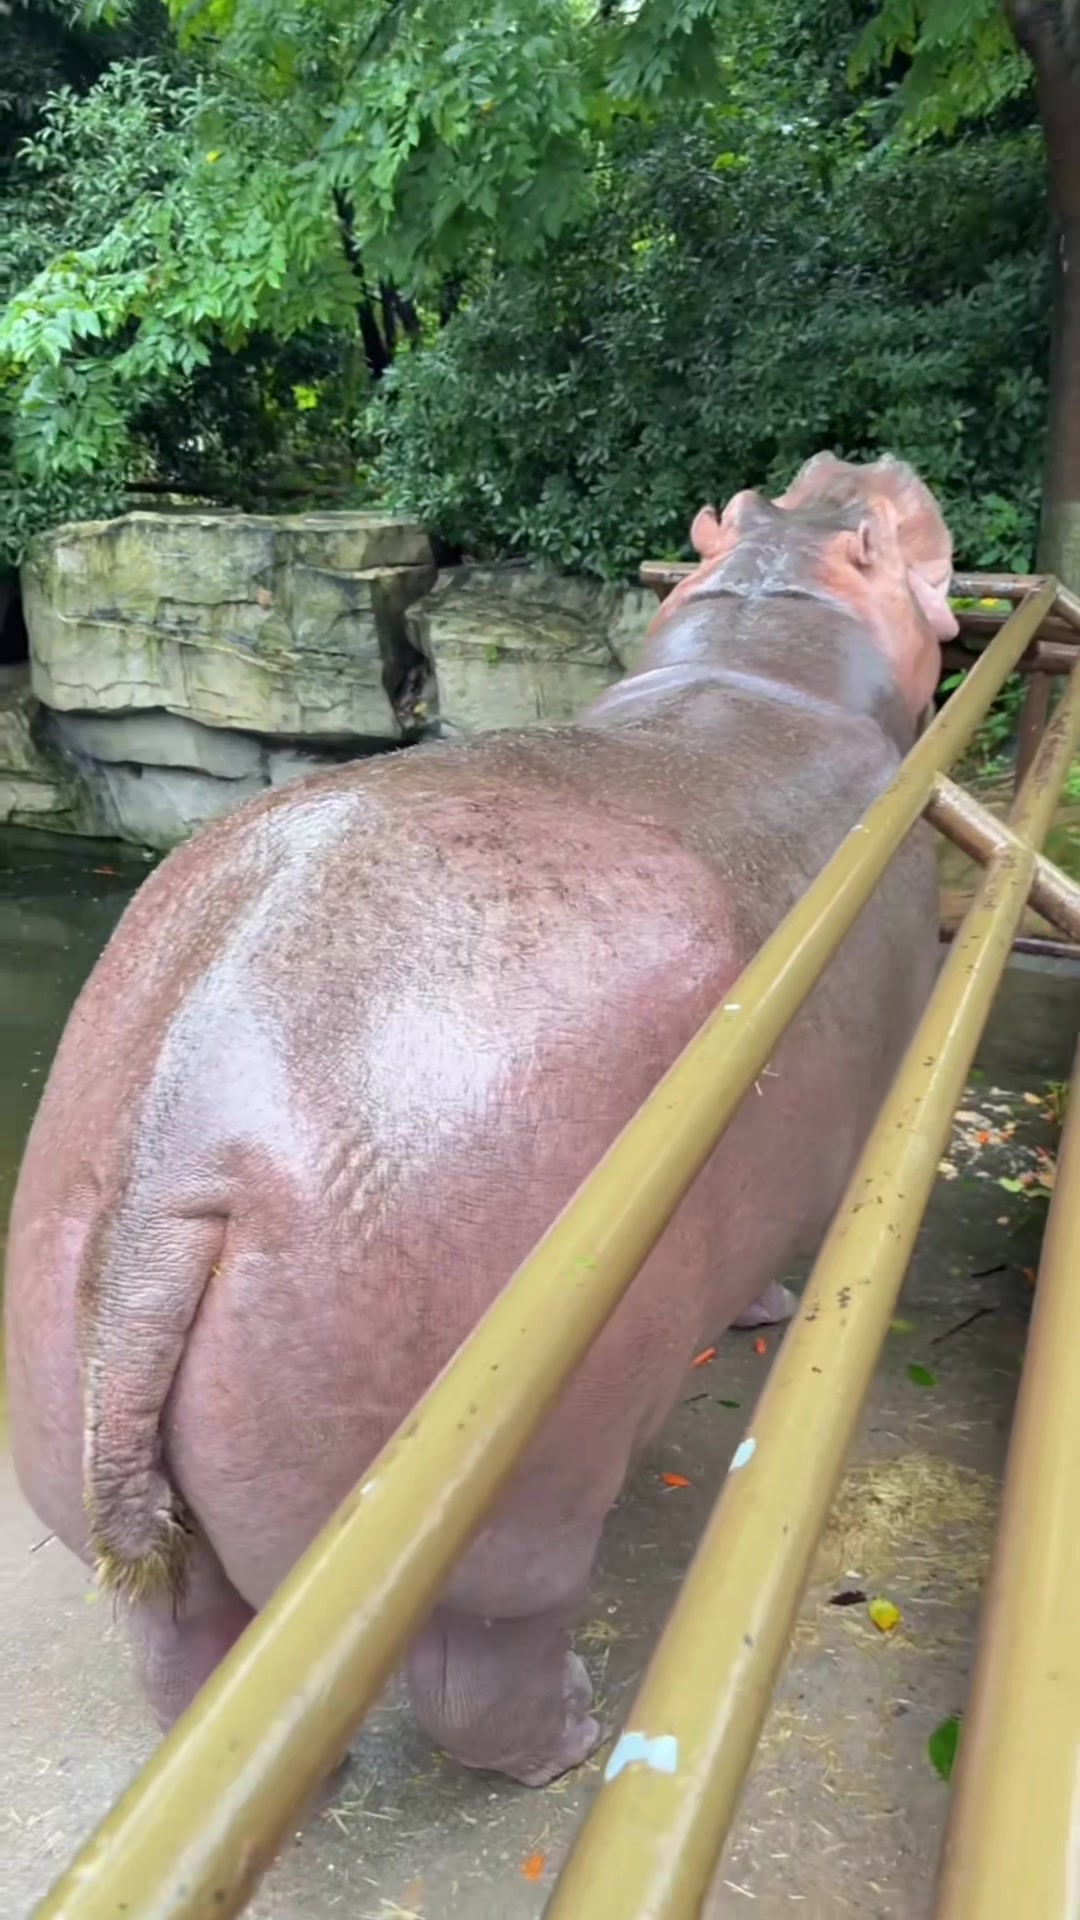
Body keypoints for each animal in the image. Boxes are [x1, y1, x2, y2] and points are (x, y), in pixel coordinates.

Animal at [5, 453, 957, 1788]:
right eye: (879, 530)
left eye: (774, 506)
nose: (856, 459)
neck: (767, 641)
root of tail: (176, 1154)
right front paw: (771, 1310)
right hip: (515, 1503)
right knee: (482, 1676)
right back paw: (572, 1736)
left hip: (108, 1460)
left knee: (185, 1659)